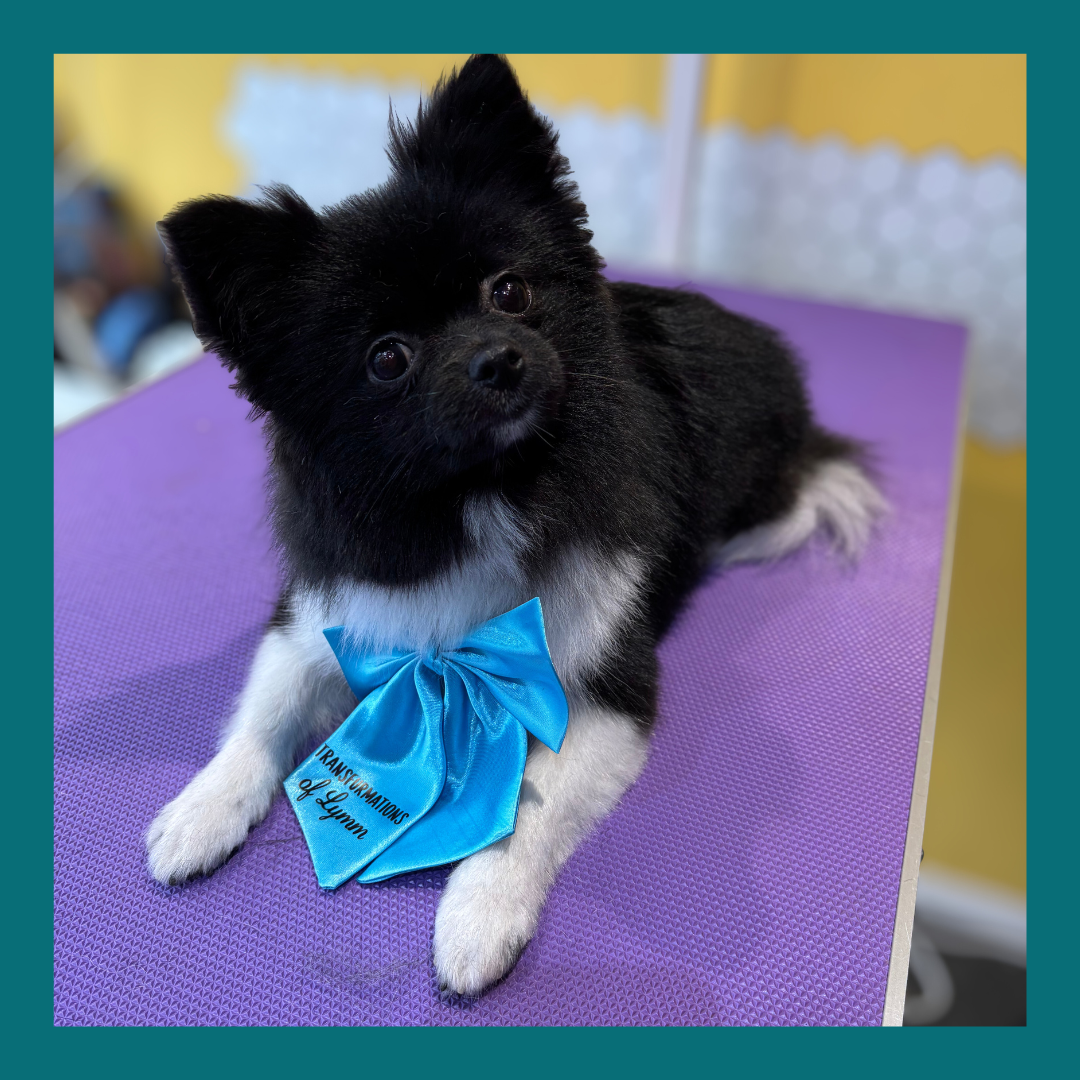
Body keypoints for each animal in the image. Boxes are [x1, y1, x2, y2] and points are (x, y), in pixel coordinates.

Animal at [146, 54, 885, 997]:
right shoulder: (321, 614)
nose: (495, 357)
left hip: (766, 483)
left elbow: (529, 797)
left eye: (510, 291)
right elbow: (259, 718)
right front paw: (201, 808)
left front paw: (479, 915)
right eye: (387, 358)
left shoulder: (603, 690)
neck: (478, 494)